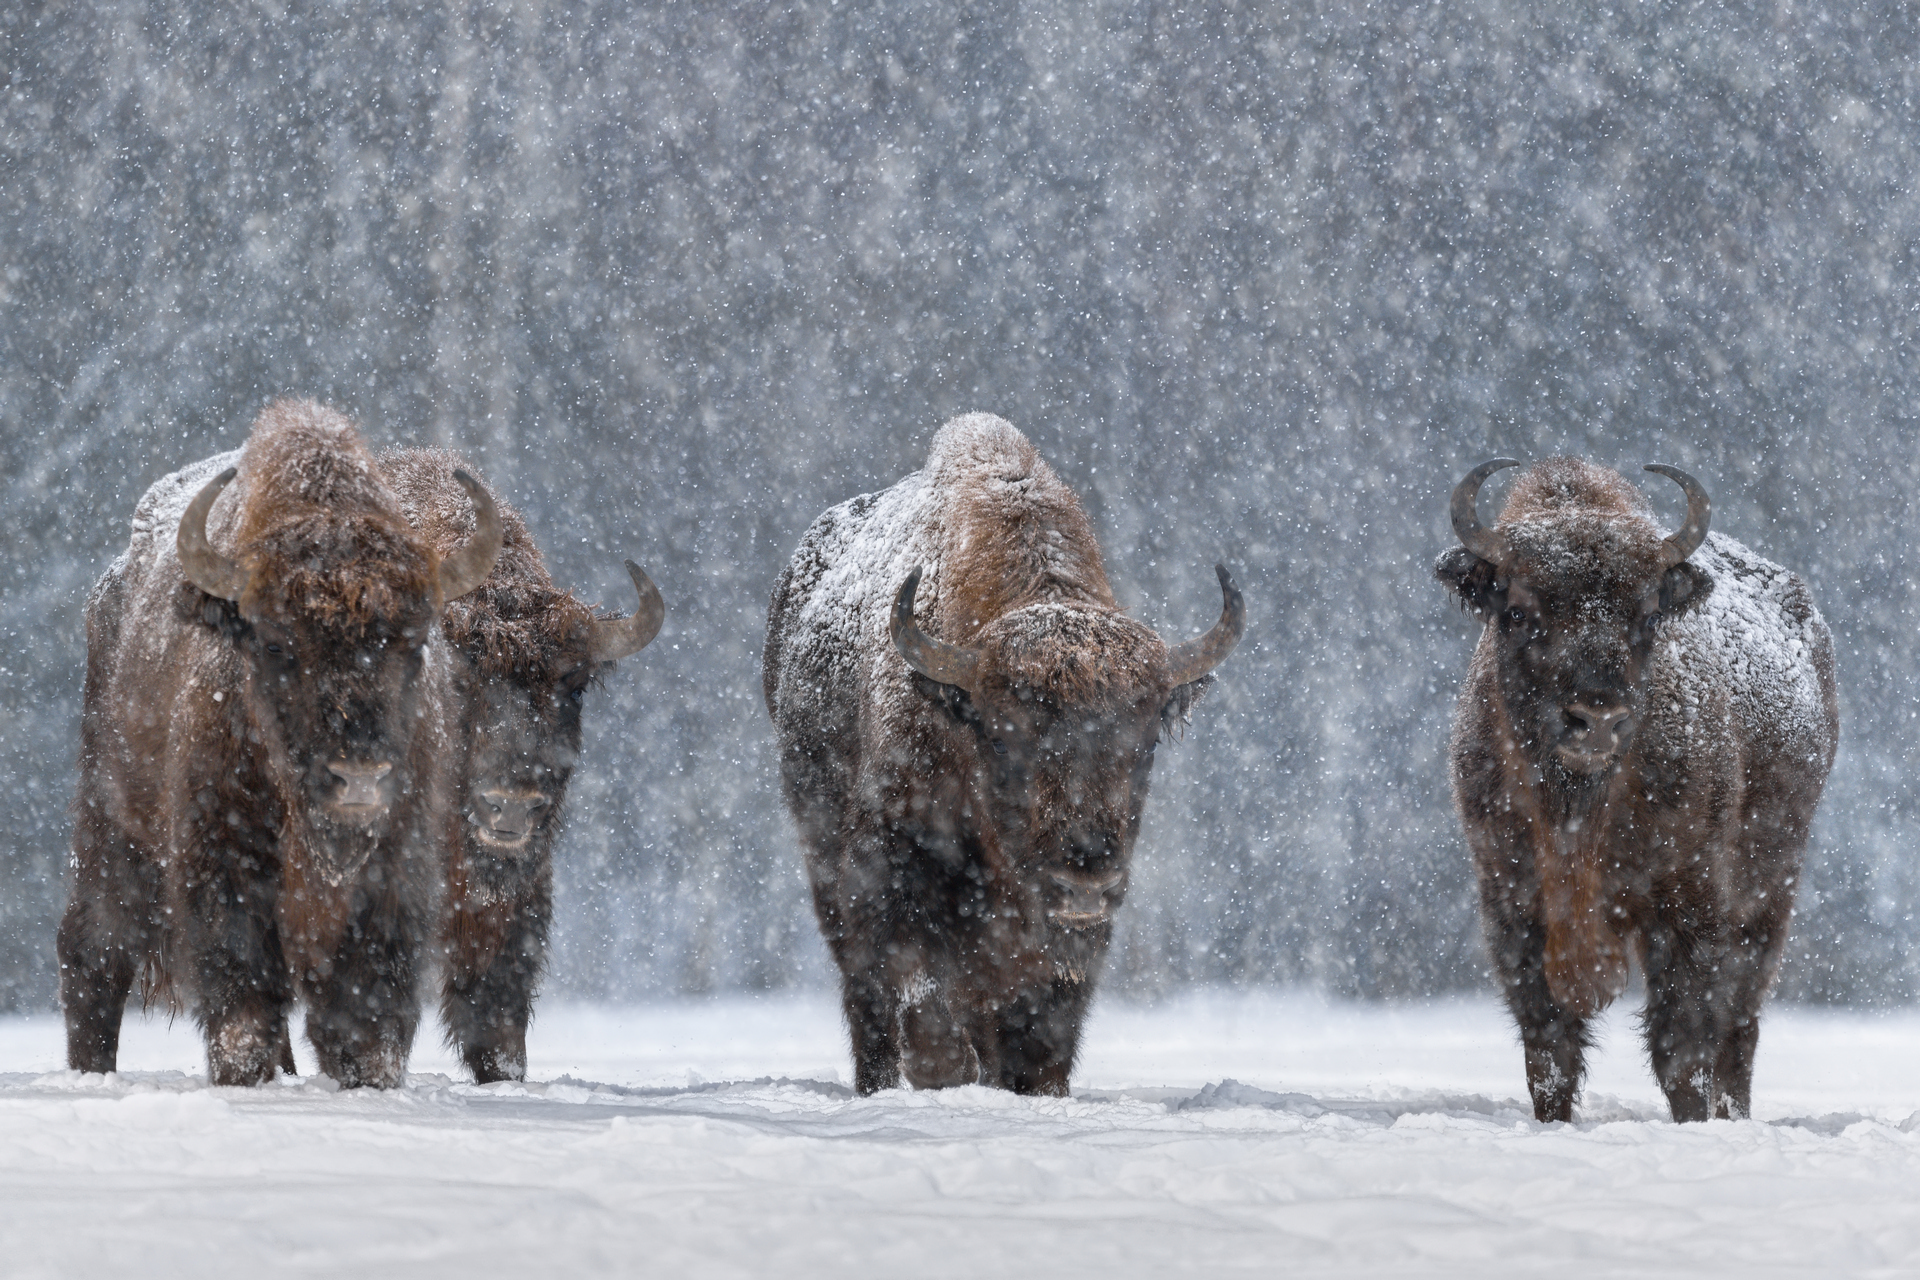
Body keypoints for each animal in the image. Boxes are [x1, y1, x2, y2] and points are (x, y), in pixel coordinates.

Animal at [62, 402, 503, 1090]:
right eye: (275, 644)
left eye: (412, 642)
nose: (359, 780)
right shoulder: (225, 861)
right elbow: (243, 1002)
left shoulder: (395, 870)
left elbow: (365, 1016)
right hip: (112, 826)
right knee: (96, 952)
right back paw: (92, 1075)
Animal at [764, 416, 1244, 1097]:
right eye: (1004, 735)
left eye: (1147, 738)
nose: (1082, 880)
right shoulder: (890, 875)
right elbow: (920, 998)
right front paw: (941, 1071)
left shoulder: (1072, 949)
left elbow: (1043, 1040)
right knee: (870, 1006)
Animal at [1436, 460, 1835, 1120]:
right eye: (1517, 611)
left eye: (1647, 616)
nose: (1596, 719)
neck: (1577, 810)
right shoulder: (1511, 903)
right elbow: (1550, 1048)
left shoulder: (1689, 905)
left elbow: (1682, 1045)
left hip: (1770, 892)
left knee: (1739, 1026)